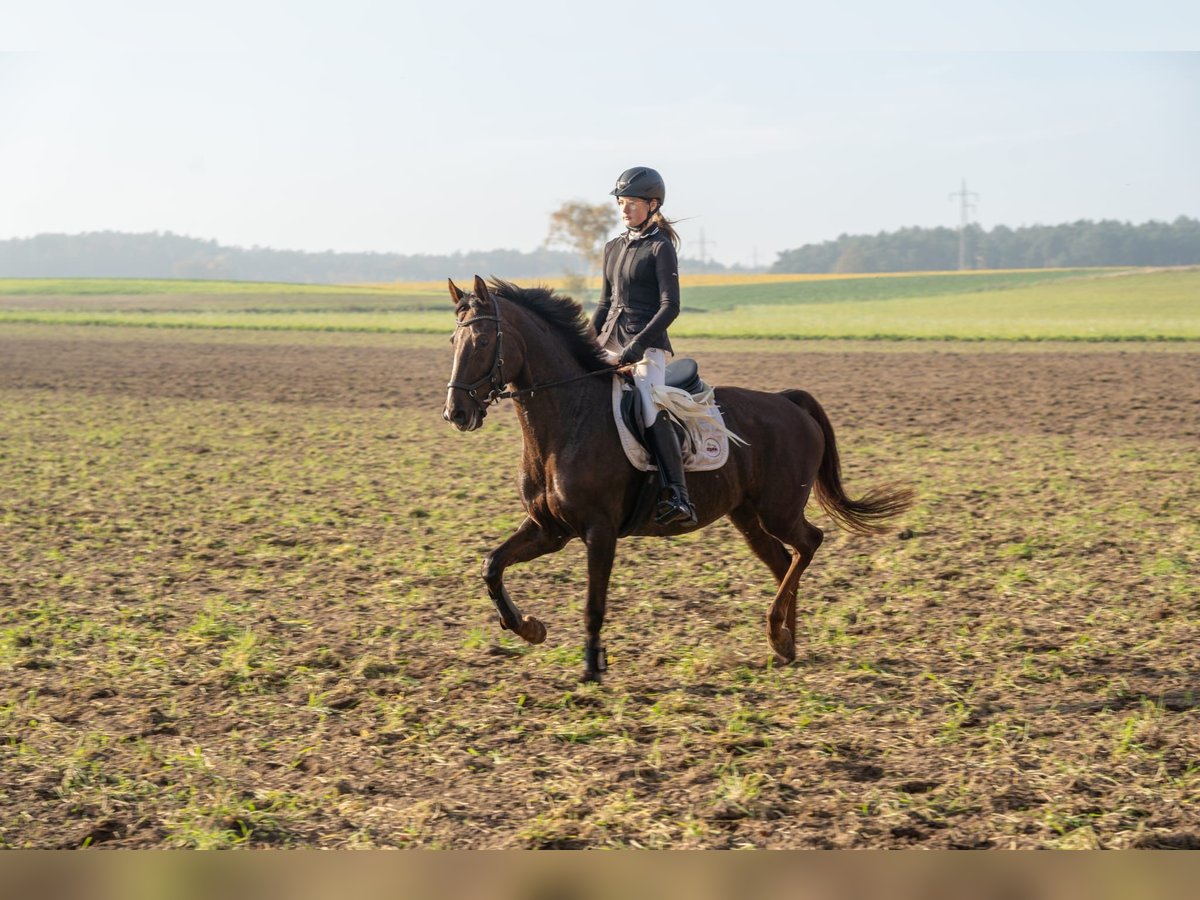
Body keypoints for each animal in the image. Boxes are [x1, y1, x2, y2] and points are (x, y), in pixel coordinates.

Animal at [446, 274, 912, 681]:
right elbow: (492, 565)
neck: (567, 421)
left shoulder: (599, 531)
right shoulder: (549, 529)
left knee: (809, 544)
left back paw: (778, 630)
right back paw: (784, 643)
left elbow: (593, 605)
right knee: (784, 561)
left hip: (778, 510)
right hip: (747, 516)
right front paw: (529, 627)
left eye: (483, 341)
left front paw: (592, 668)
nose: (456, 413)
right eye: (454, 341)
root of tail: (787, 402)